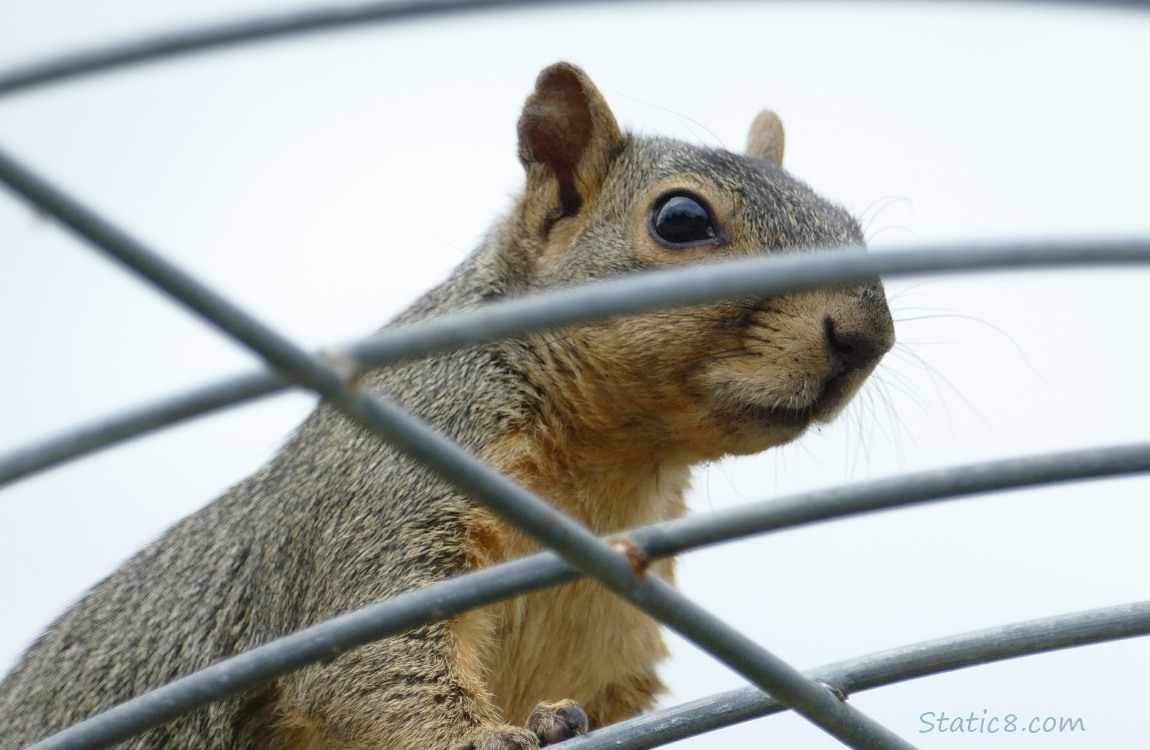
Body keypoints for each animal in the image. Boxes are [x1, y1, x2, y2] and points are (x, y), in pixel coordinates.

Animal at [0, 62, 894, 750]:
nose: (866, 334)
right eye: (681, 219)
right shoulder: (387, 496)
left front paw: (552, 721)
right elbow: (370, 665)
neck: (615, 470)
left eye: (851, 227)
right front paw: (488, 736)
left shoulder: (613, 642)